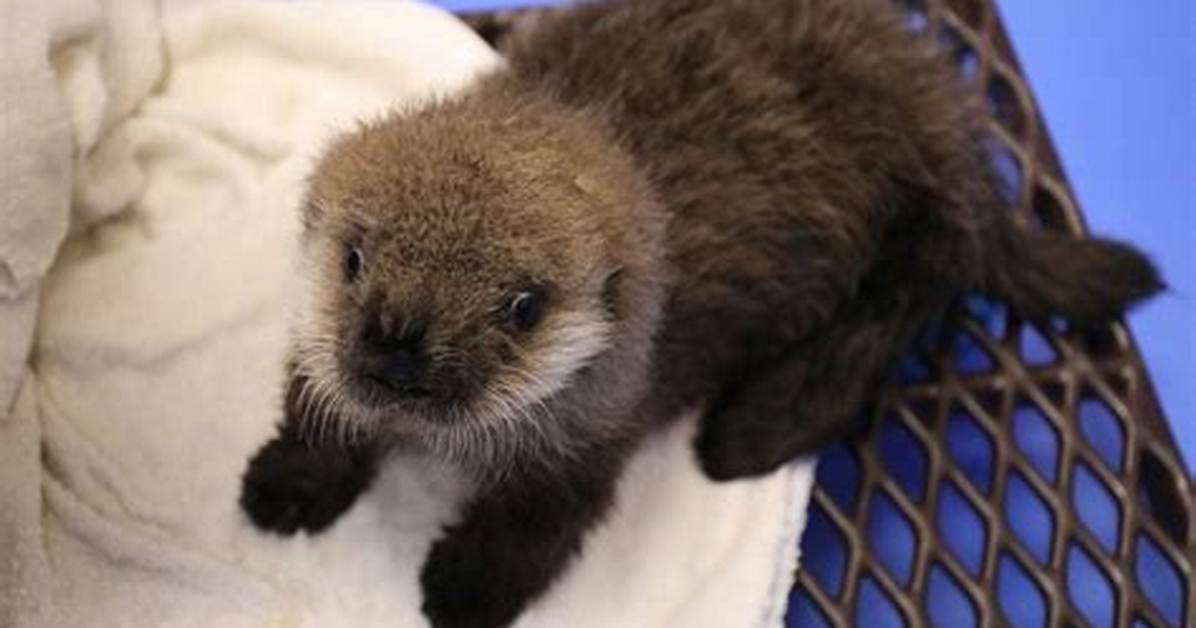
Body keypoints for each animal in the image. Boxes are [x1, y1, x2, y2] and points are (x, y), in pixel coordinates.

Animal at [239, 0, 1161, 626]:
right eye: (354, 259)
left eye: (524, 307)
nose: (398, 344)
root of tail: (958, 129)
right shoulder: (323, 345)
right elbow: (319, 401)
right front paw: (287, 484)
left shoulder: (601, 421)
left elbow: (542, 515)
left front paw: (464, 588)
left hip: (912, 243)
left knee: (891, 321)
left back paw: (752, 426)